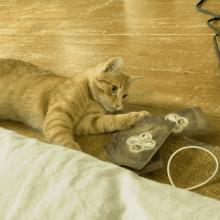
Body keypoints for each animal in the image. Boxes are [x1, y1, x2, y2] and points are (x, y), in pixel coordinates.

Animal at [0, 57, 150, 152]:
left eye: (124, 96)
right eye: (113, 89)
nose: (119, 105)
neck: (89, 97)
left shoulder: (89, 121)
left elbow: (114, 120)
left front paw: (137, 117)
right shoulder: (57, 118)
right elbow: (68, 145)